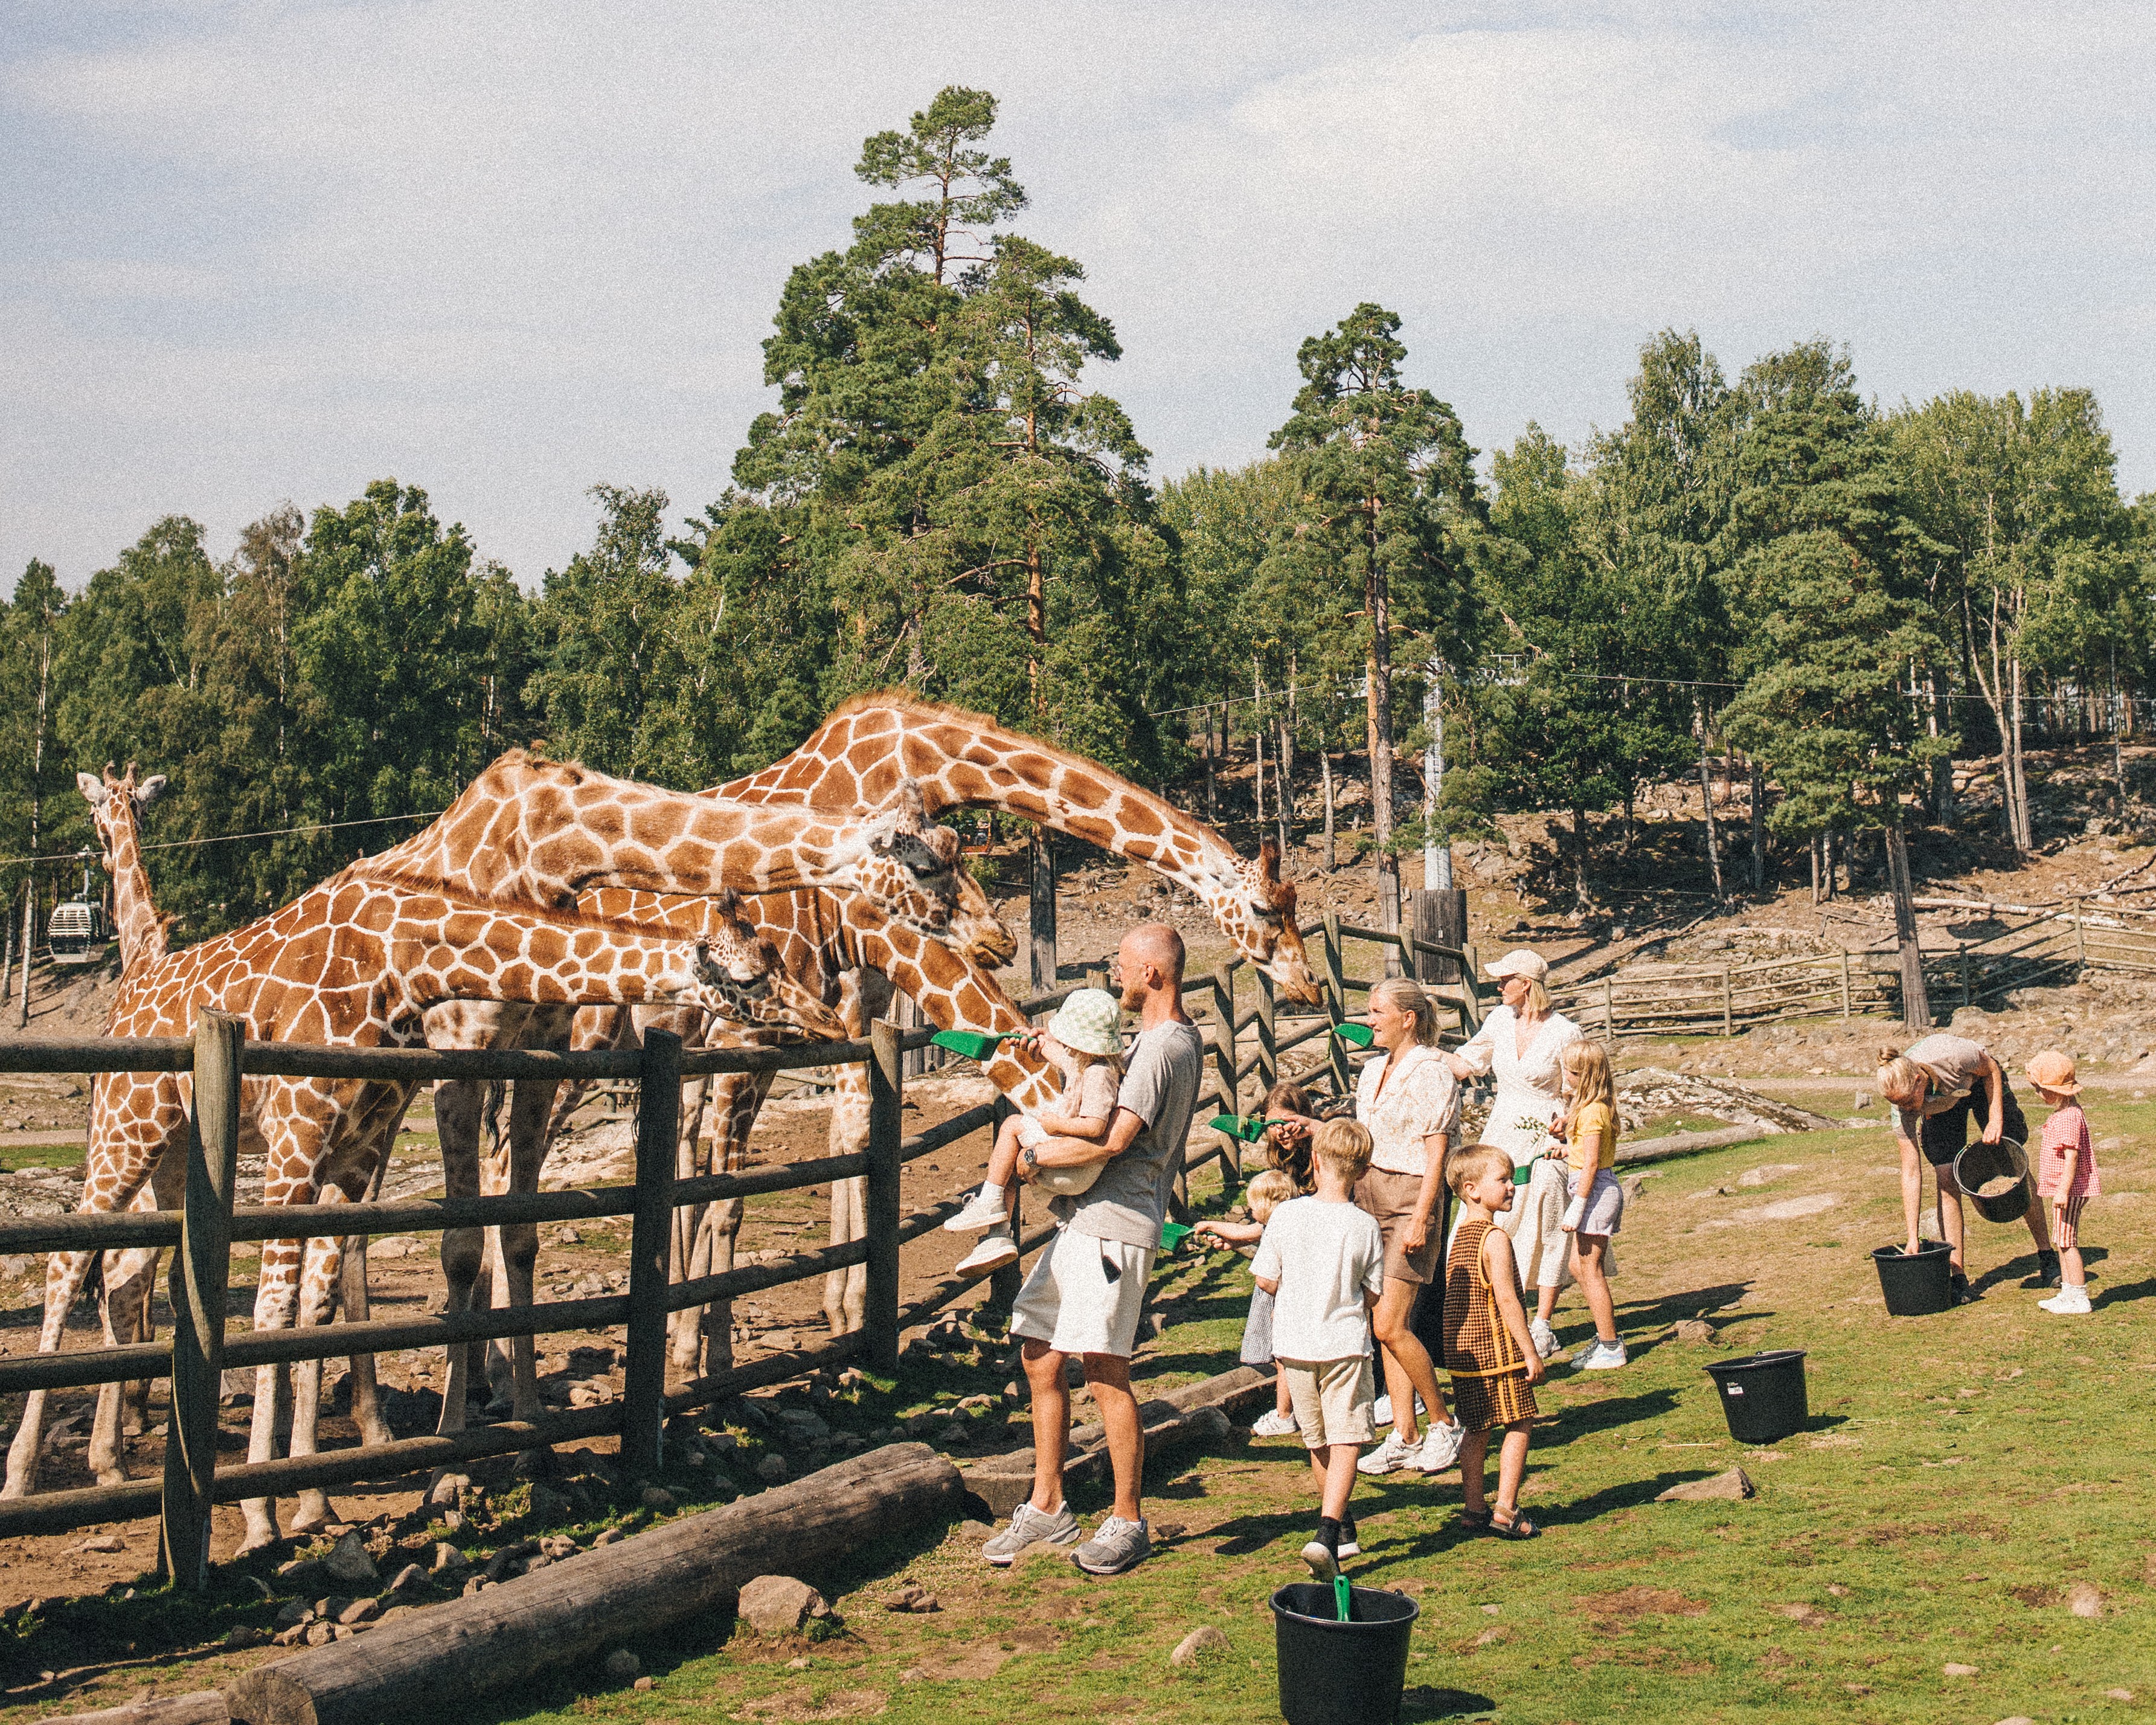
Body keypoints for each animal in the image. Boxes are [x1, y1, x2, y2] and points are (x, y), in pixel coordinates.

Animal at [0, 866, 836, 1534]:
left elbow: (314, 1306)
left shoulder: (352, 1152)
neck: (399, 963)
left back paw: (109, 1466)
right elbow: (272, 1313)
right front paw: (260, 1515)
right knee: (68, 1265)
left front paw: (310, 1499)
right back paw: (24, 1479)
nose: (820, 1022)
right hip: (126, 1128)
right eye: (753, 976)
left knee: (123, 1274)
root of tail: (127, 1000)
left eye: (775, 957)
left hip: (177, 1152)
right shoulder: (297, 1137)